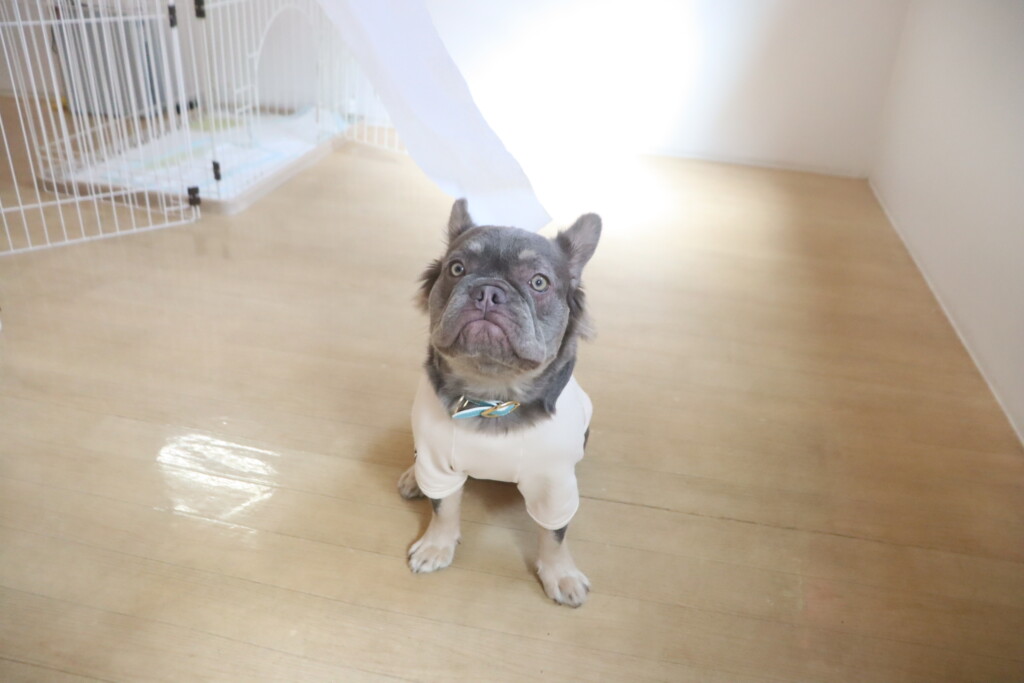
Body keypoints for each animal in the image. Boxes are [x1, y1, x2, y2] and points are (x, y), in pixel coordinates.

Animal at [397, 198, 601, 607]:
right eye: (456, 269)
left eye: (539, 282)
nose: (488, 291)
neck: (492, 395)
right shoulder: (438, 465)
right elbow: (443, 508)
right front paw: (436, 546)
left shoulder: (554, 486)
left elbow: (555, 534)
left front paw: (561, 574)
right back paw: (413, 477)